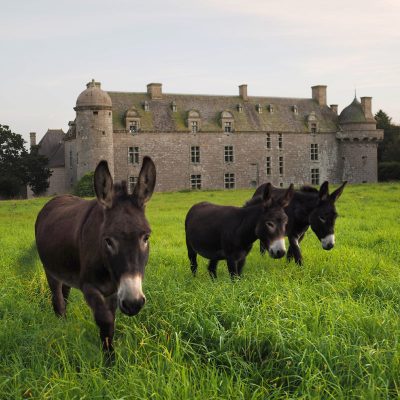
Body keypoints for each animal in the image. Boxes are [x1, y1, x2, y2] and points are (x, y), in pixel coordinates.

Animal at [35, 157, 156, 358]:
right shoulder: (89, 287)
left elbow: (111, 322)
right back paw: (62, 330)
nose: (133, 304)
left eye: (146, 237)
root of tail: (58, 198)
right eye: (108, 240)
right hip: (50, 271)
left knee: (65, 296)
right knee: (58, 300)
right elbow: (105, 321)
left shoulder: (115, 291)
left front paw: (110, 355)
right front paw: (109, 361)